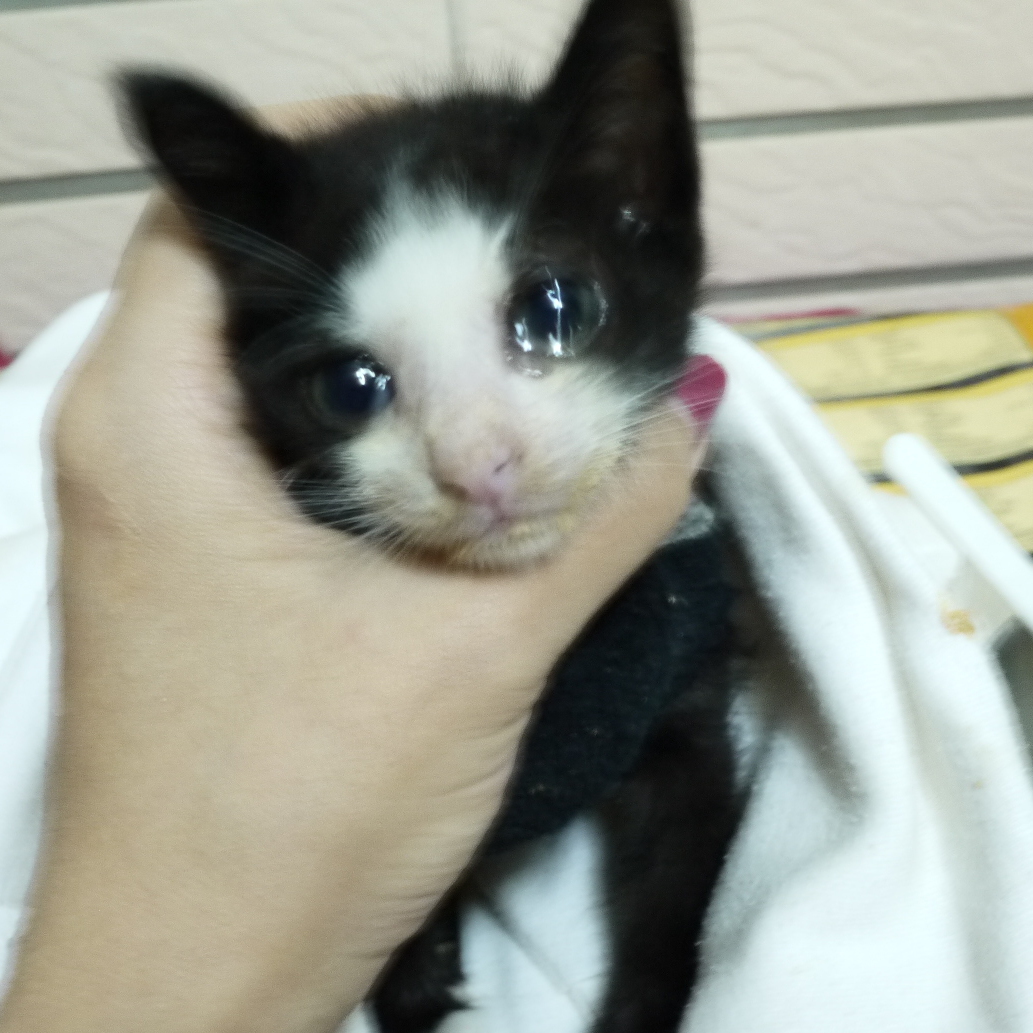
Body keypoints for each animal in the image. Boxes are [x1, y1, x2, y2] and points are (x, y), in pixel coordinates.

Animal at [120, 0, 742, 1028]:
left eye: (555, 308)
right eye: (349, 385)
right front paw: (413, 977)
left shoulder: (689, 704)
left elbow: (675, 881)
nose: (476, 464)